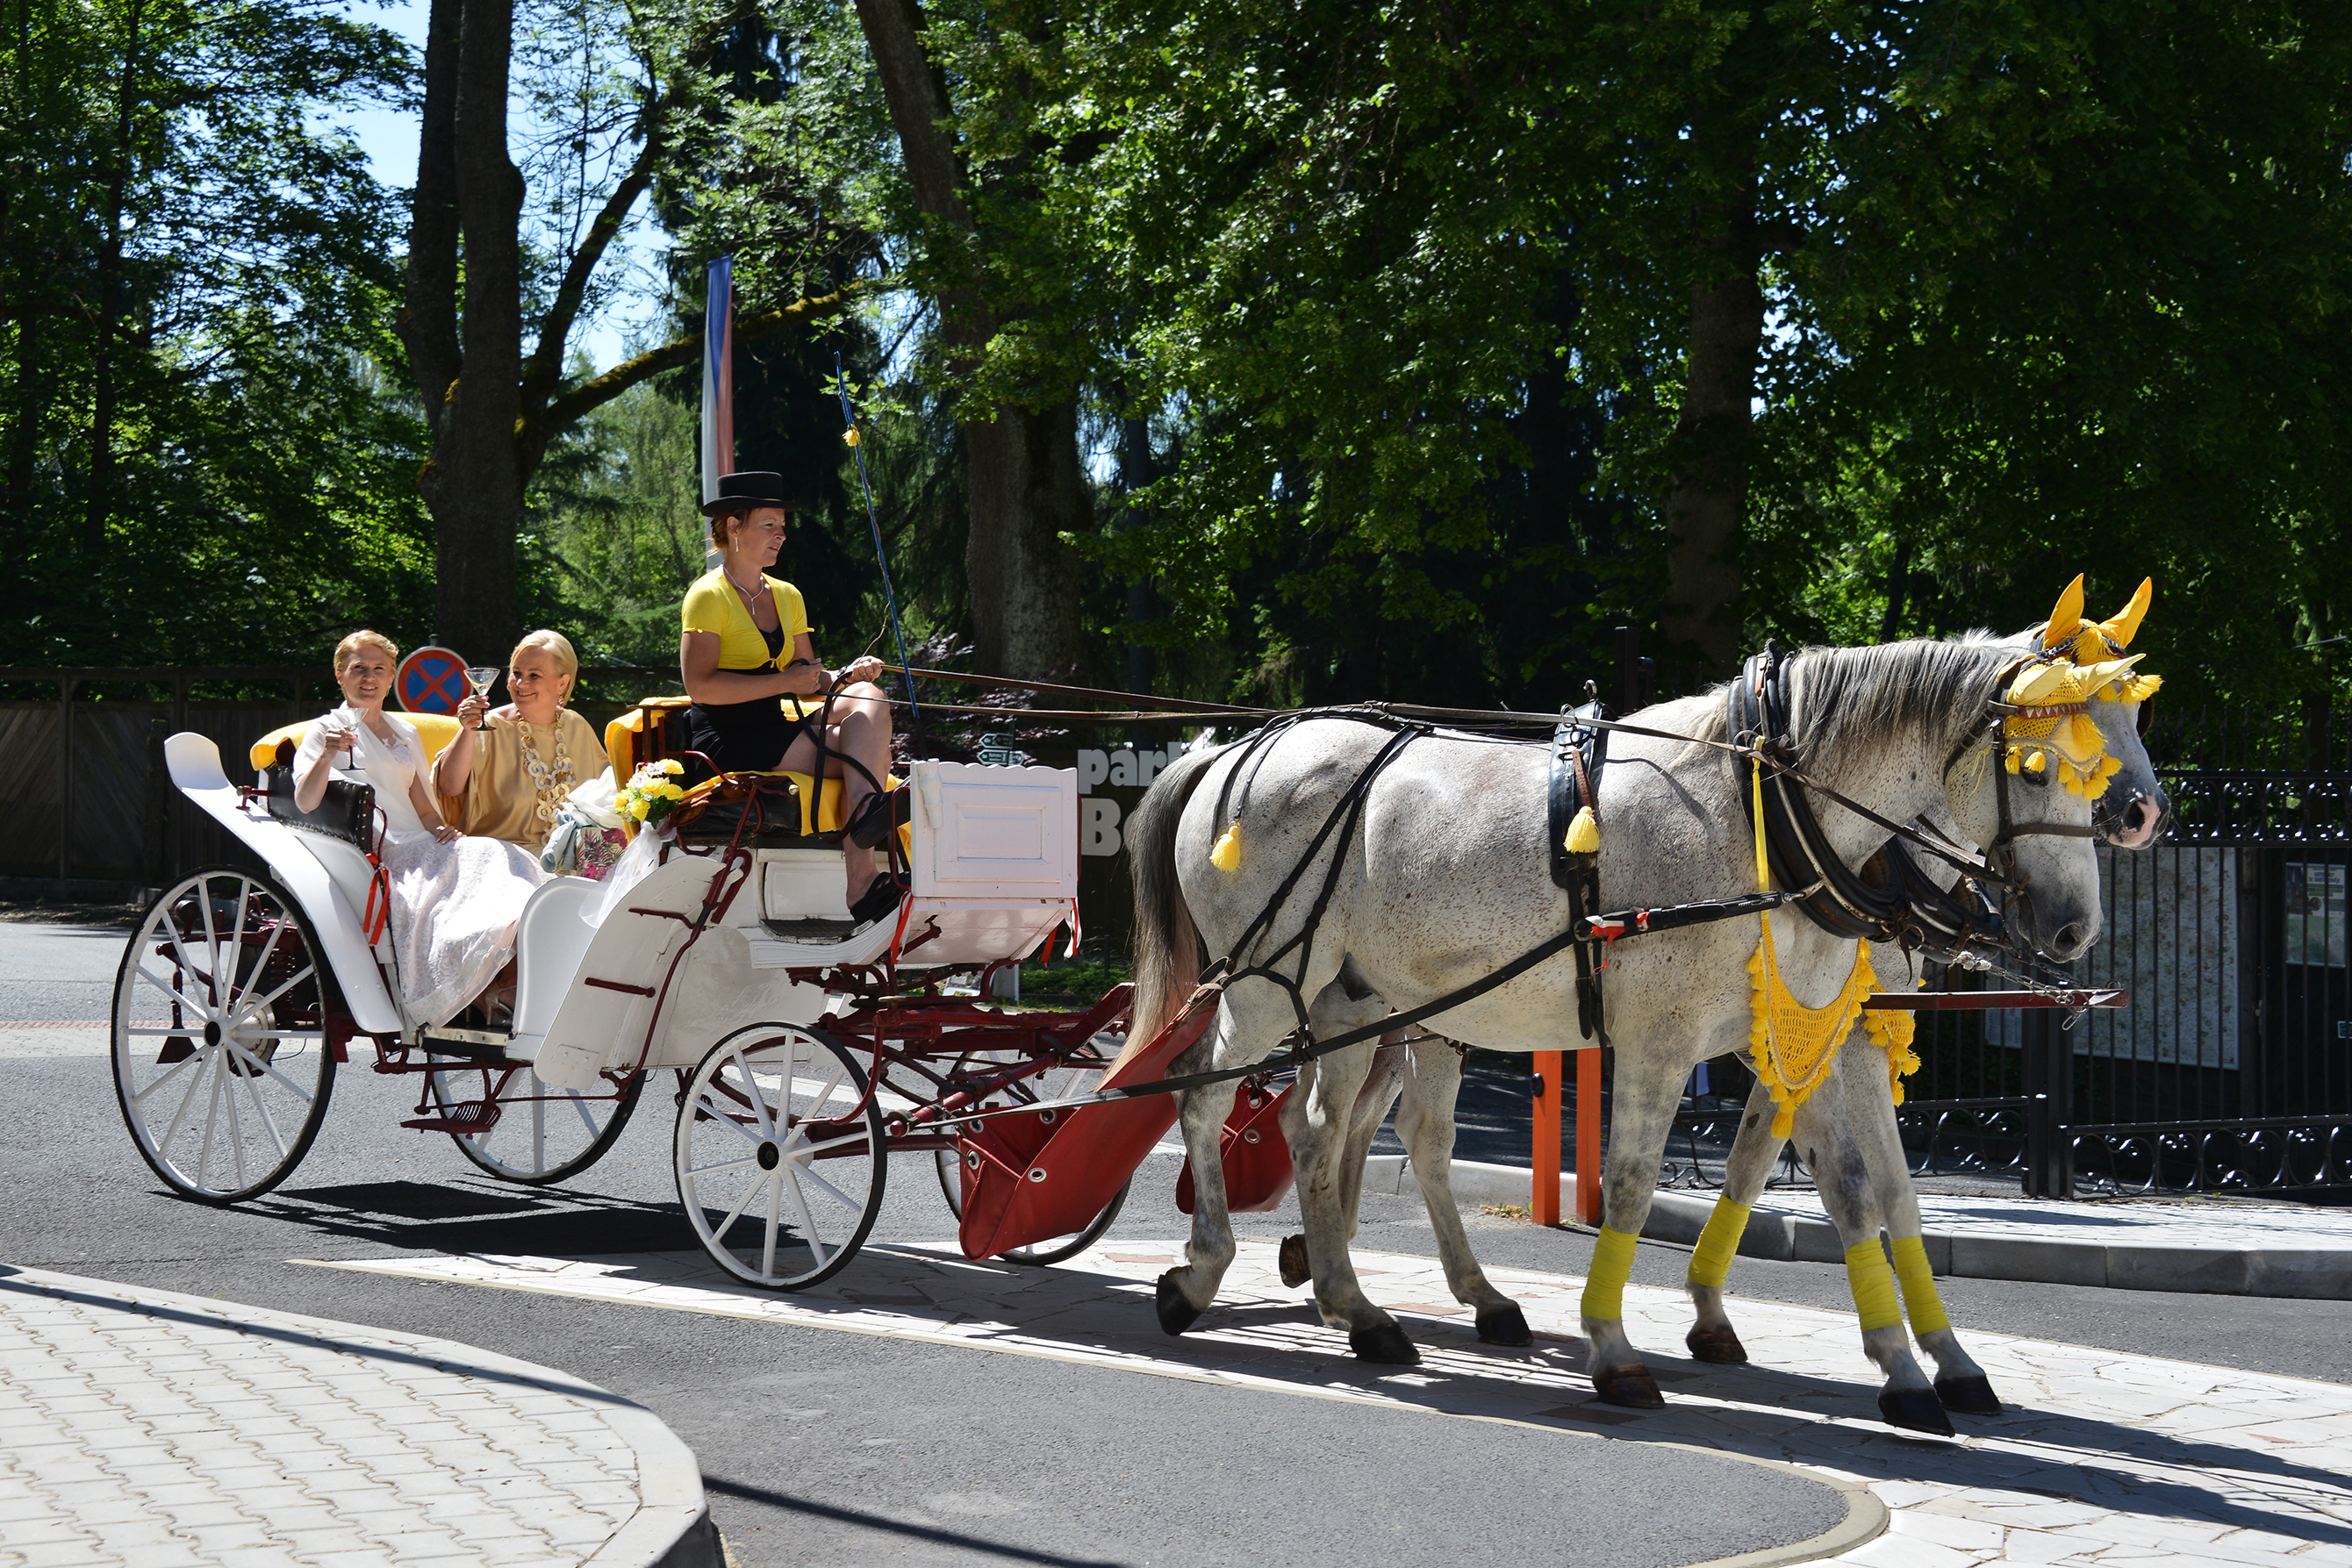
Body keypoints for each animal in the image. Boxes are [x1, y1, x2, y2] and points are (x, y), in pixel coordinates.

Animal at [1129, 630, 2126, 1428]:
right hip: (1268, 983)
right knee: (1207, 1098)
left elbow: (1853, 1186)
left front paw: (1920, 1364)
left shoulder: (1802, 1033)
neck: (1759, 811)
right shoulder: (1668, 1036)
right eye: (2039, 768)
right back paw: (1205, 1272)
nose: (2075, 925)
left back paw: (1363, 1302)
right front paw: (1615, 1348)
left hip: (1361, 1002)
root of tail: (1234, 748)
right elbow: (1641, 1180)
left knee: (1333, 1128)